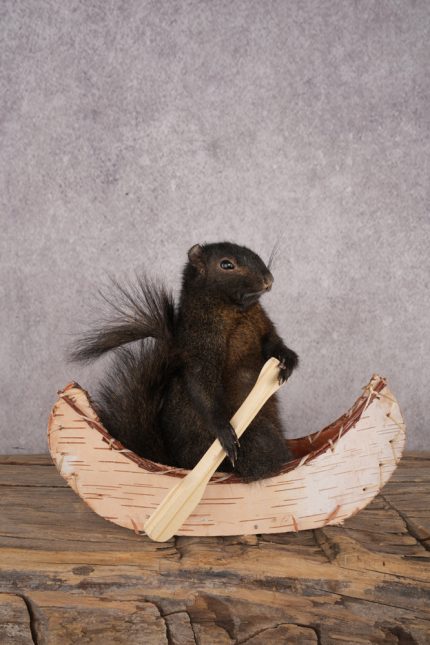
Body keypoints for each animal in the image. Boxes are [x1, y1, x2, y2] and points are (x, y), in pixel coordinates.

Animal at [71, 242, 299, 481]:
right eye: (227, 264)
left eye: (254, 253)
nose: (268, 279)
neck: (237, 311)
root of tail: (177, 463)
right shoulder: (200, 346)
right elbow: (202, 386)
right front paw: (225, 432)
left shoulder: (262, 324)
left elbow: (273, 341)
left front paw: (287, 360)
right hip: (257, 440)